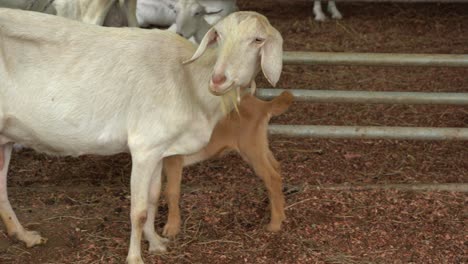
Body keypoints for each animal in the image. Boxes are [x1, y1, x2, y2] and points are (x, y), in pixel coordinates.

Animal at [0, 8, 282, 264]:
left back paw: (24, 235)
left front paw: (156, 243)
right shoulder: (144, 147)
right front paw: (135, 257)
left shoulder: (160, 149)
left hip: (5, 137)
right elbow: (138, 211)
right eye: (218, 36)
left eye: (258, 40)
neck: (188, 80)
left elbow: (153, 198)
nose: (218, 79)